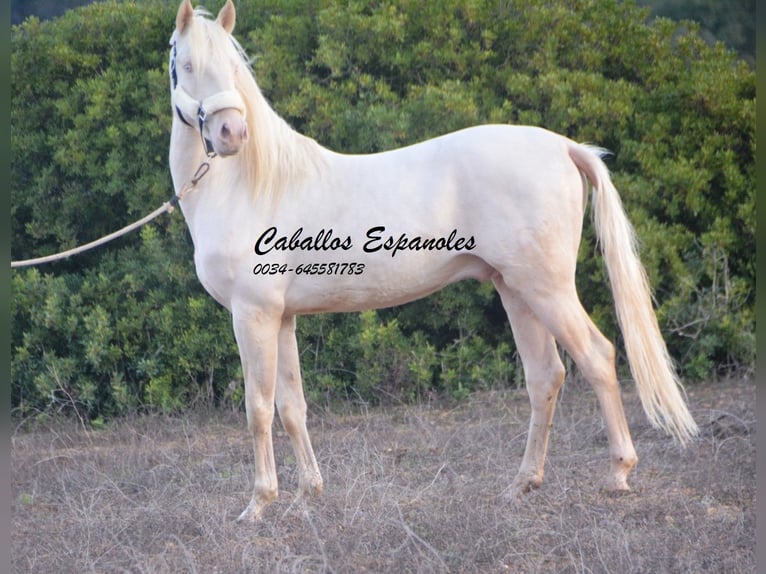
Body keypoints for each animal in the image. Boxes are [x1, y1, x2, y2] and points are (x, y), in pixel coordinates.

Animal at [170, 0, 704, 528]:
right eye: (188, 64)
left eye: (234, 67)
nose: (231, 133)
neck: (251, 187)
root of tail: (563, 146)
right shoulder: (281, 319)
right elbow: (291, 406)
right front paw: (307, 495)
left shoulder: (253, 315)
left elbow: (258, 408)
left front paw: (258, 504)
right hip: (516, 291)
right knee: (545, 376)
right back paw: (521, 485)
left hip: (547, 289)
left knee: (597, 357)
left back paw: (617, 474)